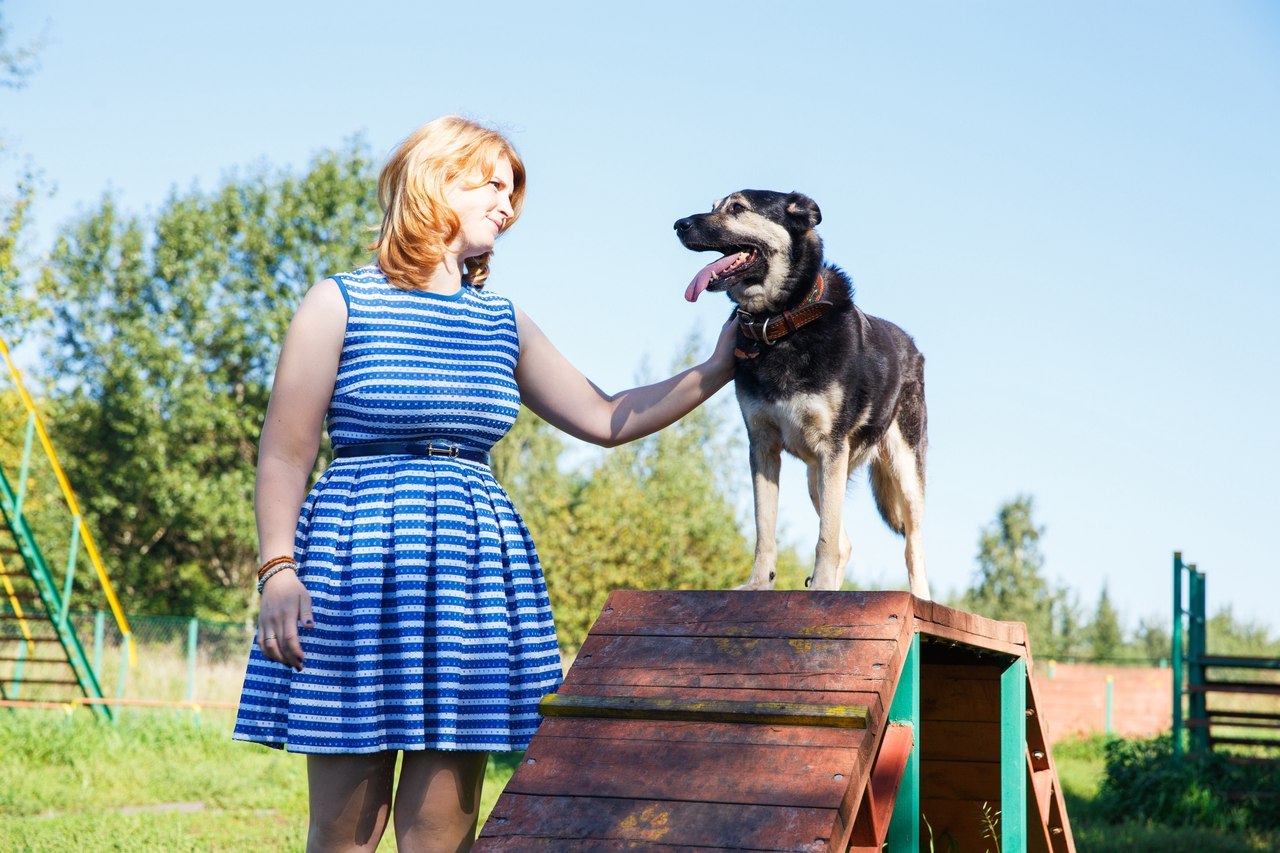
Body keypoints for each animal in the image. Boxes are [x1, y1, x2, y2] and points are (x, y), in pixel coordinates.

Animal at [675, 189, 936, 596]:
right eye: (714, 205)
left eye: (737, 208)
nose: (678, 225)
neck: (779, 323)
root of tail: (912, 346)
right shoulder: (763, 446)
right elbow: (765, 531)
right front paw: (758, 584)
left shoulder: (831, 448)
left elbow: (824, 538)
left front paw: (823, 586)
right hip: (819, 478)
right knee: (845, 541)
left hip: (903, 472)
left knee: (912, 544)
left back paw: (920, 599)